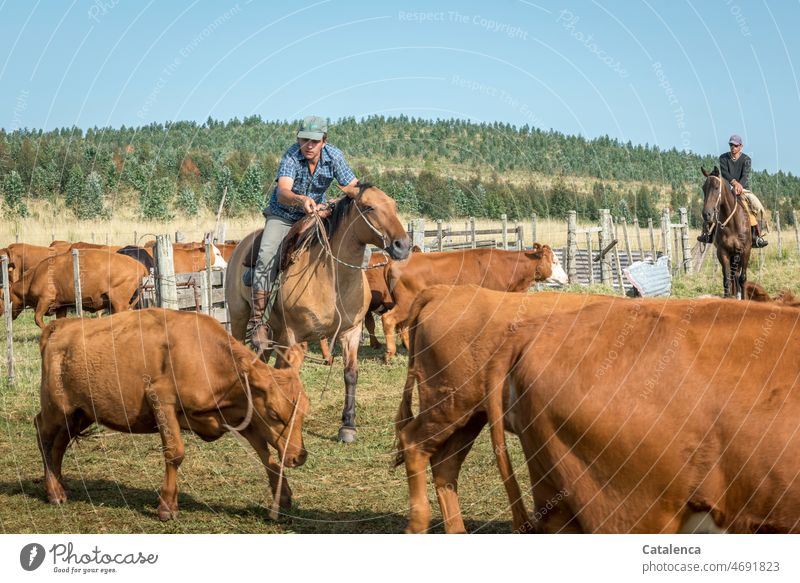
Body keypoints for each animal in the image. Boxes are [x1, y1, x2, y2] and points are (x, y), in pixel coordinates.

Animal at [0, 249, 148, 326]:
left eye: (2, 297)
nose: (2, 312)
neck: (35, 276)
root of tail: (140, 266)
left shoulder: (44, 300)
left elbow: (37, 319)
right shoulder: (61, 307)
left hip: (119, 303)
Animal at [227, 182, 410, 442]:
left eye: (393, 204)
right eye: (368, 207)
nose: (402, 246)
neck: (333, 279)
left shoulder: (350, 332)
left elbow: (350, 373)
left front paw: (348, 426)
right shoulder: (295, 338)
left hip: (273, 331)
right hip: (240, 316)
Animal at [382, 243, 568, 360]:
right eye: (555, 261)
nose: (567, 278)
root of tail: (394, 262)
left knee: (403, 325)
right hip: (405, 303)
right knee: (388, 319)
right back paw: (389, 353)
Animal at [396, 286, 800, 532]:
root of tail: (448, 290)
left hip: (471, 419)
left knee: (445, 465)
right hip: (448, 404)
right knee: (414, 442)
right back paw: (418, 523)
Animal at [700, 167, 752, 298]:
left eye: (716, 187)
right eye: (703, 188)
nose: (706, 214)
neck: (733, 222)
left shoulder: (745, 250)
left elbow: (743, 278)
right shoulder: (722, 252)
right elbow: (726, 280)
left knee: (738, 275)